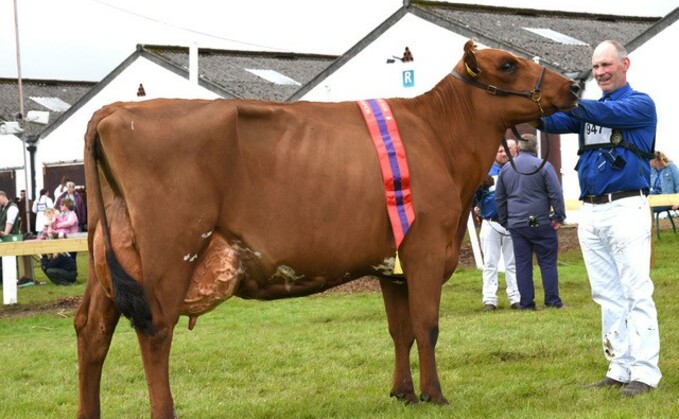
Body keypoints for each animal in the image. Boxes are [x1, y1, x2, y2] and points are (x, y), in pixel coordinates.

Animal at [75, 40, 580, 419]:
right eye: (508, 64)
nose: (574, 85)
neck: (438, 136)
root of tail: (114, 111)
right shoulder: (424, 247)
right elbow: (426, 324)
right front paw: (435, 395)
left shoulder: (392, 262)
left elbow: (400, 330)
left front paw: (404, 393)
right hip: (167, 255)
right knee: (155, 332)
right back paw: (164, 411)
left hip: (109, 258)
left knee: (92, 330)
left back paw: (88, 412)